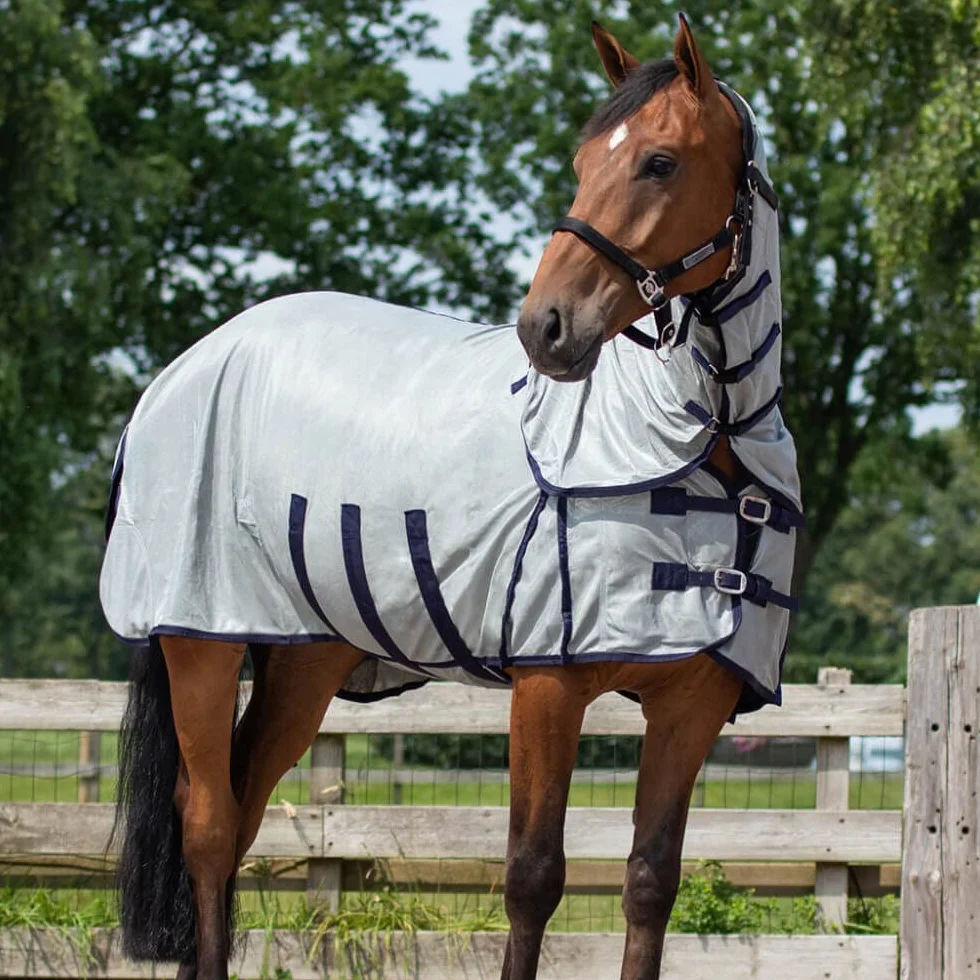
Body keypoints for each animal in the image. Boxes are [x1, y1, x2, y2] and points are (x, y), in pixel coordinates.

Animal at [102, 15, 801, 980]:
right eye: (584, 158)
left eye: (659, 161)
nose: (546, 328)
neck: (703, 441)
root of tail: (184, 367)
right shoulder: (547, 688)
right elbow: (534, 878)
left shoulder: (689, 707)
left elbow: (650, 884)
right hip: (197, 640)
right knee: (205, 825)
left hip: (302, 661)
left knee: (240, 814)